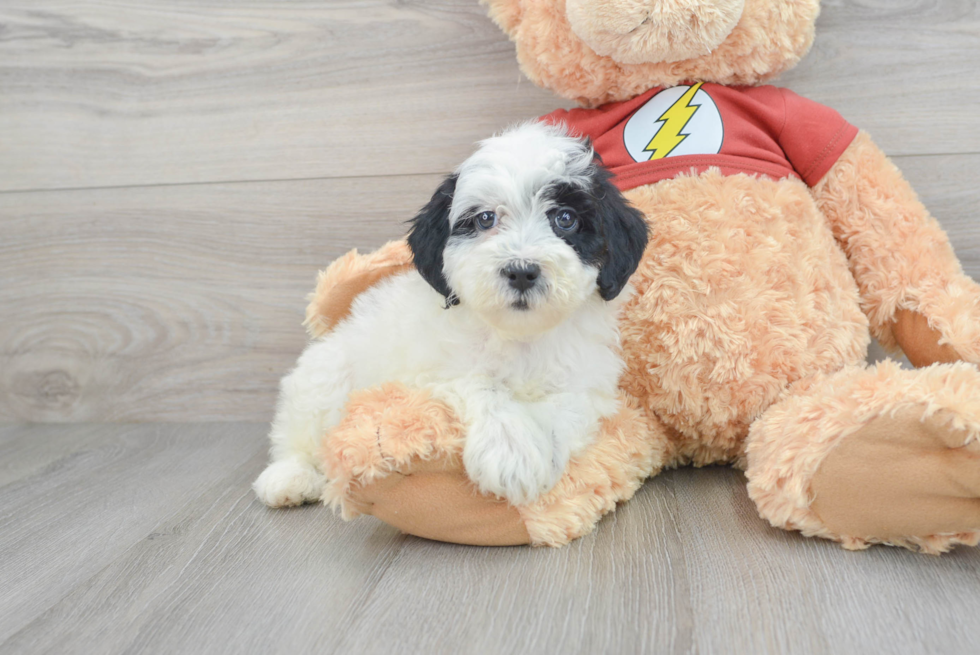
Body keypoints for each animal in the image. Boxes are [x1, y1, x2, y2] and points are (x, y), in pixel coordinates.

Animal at [256, 121, 648, 508]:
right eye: (485, 219)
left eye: (565, 219)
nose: (521, 271)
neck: (519, 336)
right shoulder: (426, 373)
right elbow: (481, 382)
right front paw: (511, 450)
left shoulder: (587, 381)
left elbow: (566, 407)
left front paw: (540, 453)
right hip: (325, 376)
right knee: (299, 430)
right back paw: (289, 478)